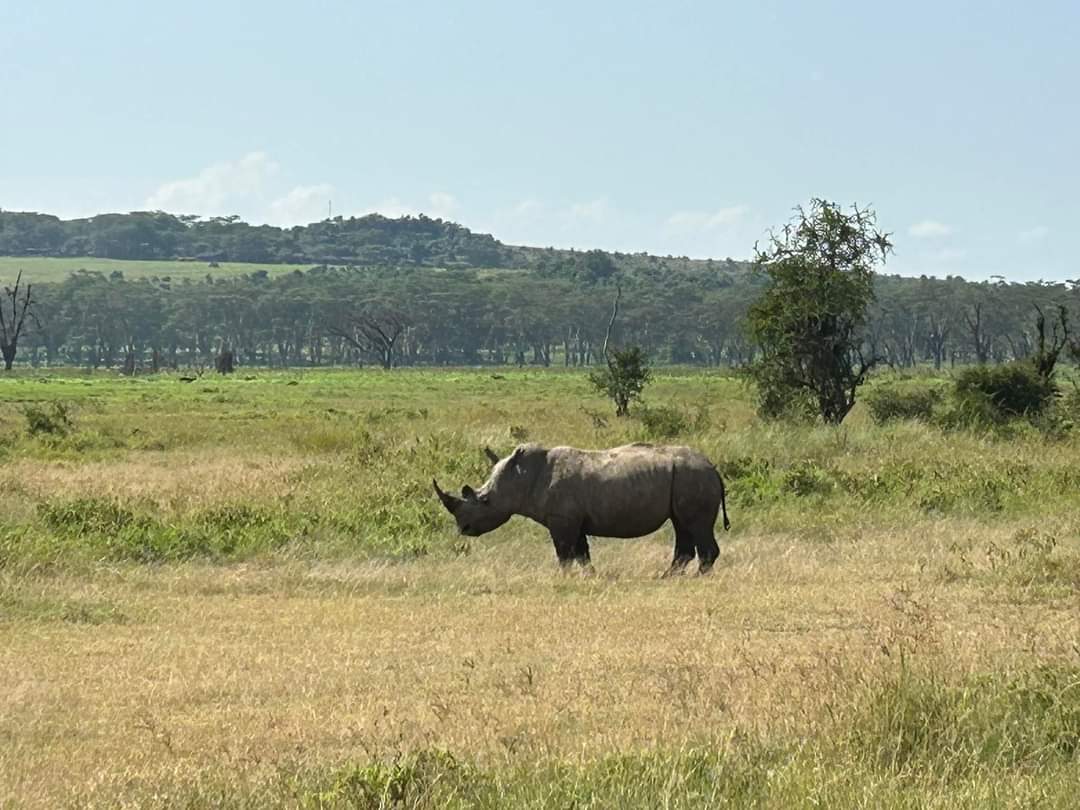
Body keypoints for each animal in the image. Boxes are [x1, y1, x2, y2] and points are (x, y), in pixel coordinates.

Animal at [433, 442, 731, 574]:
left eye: (485, 502)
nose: (464, 528)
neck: (521, 478)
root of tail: (714, 468)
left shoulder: (562, 519)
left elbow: (564, 554)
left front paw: (562, 578)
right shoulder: (573, 520)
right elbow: (581, 554)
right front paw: (590, 577)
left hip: (693, 477)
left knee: (695, 526)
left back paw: (696, 578)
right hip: (686, 479)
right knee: (682, 526)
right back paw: (667, 578)